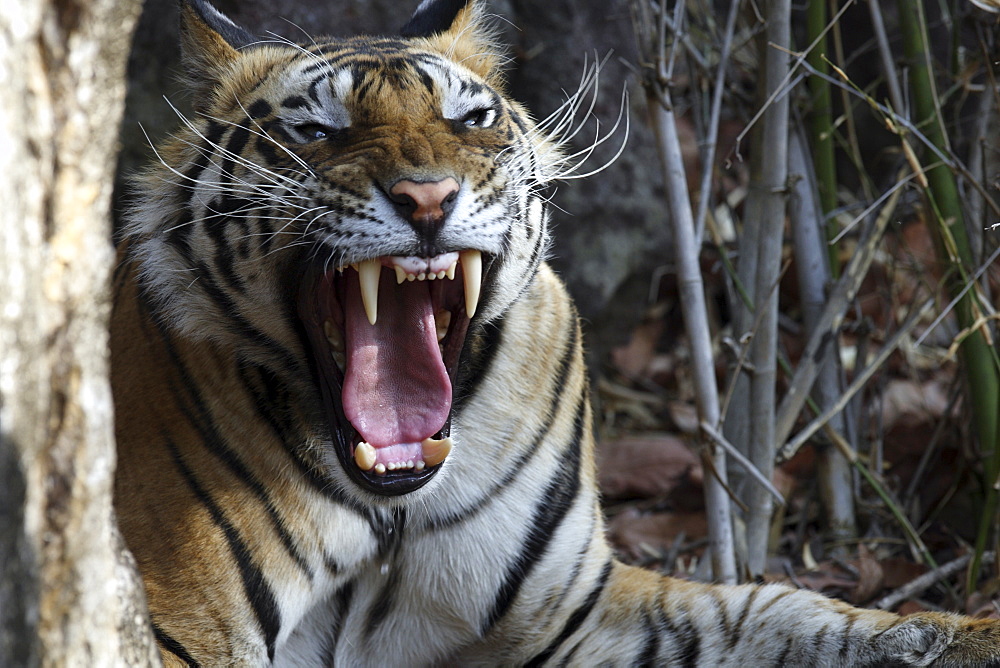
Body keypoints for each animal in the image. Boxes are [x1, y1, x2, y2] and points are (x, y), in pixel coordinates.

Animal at [111, 0, 1000, 664]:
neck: (390, 508)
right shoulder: (178, 627)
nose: (427, 198)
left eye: (471, 119)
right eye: (317, 131)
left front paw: (963, 636)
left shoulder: (576, 611)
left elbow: (793, 616)